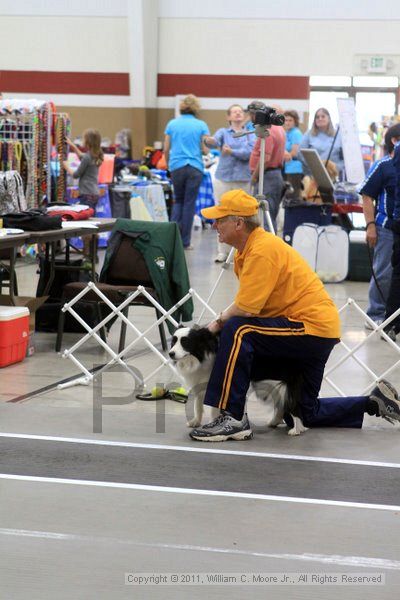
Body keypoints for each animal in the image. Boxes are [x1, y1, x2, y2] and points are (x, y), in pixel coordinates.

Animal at [168, 324, 306, 436]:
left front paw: (212, 424)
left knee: (291, 403)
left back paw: (297, 429)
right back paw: (275, 422)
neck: (201, 355)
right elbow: (198, 405)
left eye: (185, 342)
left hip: (276, 382)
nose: (170, 353)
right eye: (173, 342)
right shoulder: (199, 383)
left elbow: (213, 409)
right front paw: (195, 422)